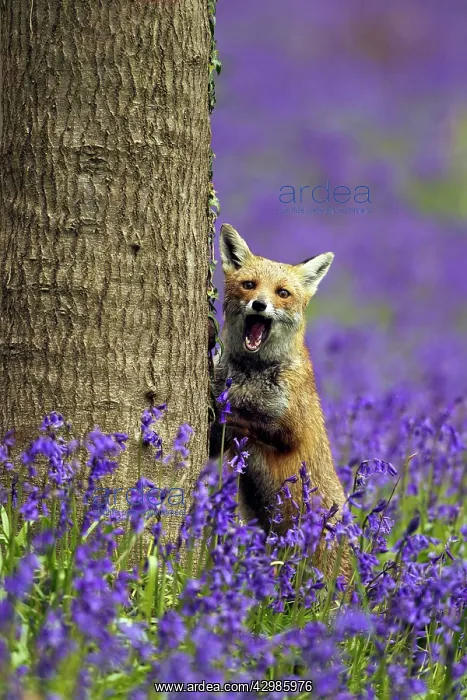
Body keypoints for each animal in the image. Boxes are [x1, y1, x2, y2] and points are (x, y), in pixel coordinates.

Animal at [209, 223, 351, 581]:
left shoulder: (292, 431)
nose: (259, 305)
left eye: (282, 293)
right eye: (249, 285)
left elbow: (246, 420)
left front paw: (220, 412)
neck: (251, 376)